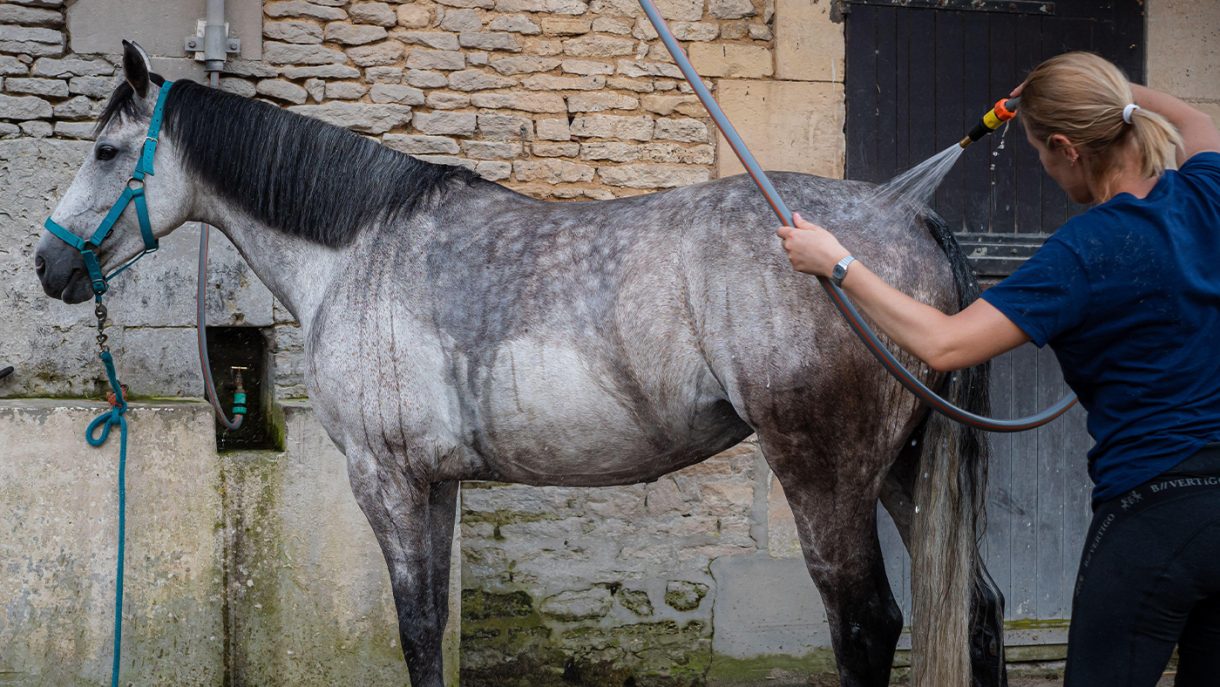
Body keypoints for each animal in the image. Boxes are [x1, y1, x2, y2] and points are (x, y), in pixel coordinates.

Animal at [34, 42, 1005, 687]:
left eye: (107, 151)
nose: (47, 266)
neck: (360, 249)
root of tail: (908, 215)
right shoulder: (434, 482)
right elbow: (429, 624)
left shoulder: (385, 478)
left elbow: (416, 629)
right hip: (903, 468)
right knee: (979, 608)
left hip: (824, 473)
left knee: (868, 623)